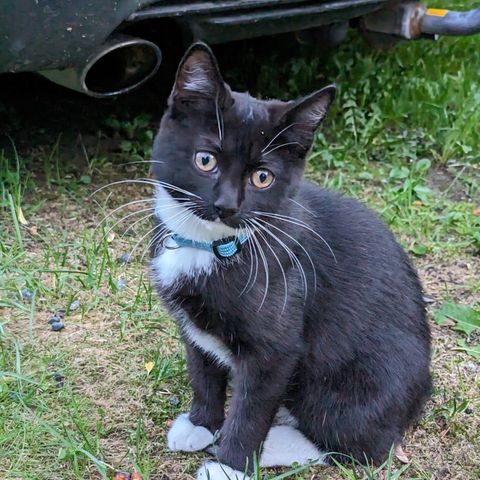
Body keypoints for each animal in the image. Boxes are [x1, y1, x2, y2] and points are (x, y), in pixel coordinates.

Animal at [150, 43, 432, 478]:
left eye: (262, 178)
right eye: (204, 160)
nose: (226, 205)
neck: (212, 245)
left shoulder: (276, 347)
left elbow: (251, 409)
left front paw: (230, 464)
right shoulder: (192, 326)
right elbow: (203, 369)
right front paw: (201, 424)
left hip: (362, 379)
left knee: (362, 443)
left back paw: (274, 445)